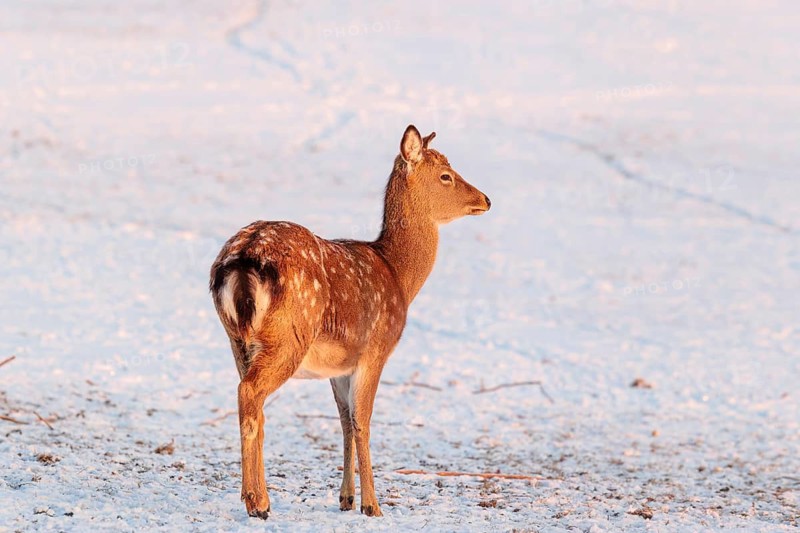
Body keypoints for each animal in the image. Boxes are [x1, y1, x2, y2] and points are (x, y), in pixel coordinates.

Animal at [209, 125, 491, 519]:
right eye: (446, 176)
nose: (485, 199)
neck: (399, 276)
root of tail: (242, 259)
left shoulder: (339, 366)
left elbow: (343, 421)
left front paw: (346, 499)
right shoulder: (376, 350)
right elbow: (363, 422)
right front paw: (373, 505)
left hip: (237, 340)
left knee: (248, 398)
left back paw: (256, 497)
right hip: (288, 336)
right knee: (251, 394)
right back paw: (258, 501)